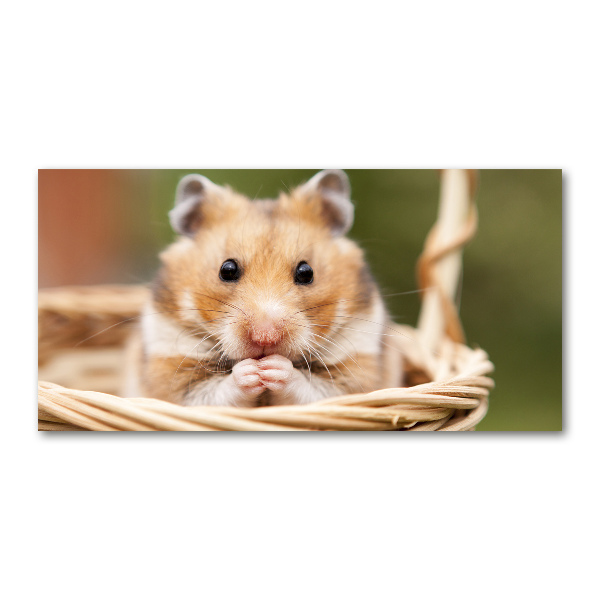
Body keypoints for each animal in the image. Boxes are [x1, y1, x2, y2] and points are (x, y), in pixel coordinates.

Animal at [123, 168, 400, 408]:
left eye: (306, 272)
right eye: (227, 269)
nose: (265, 337)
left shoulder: (356, 370)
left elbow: (315, 389)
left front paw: (272, 368)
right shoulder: (170, 368)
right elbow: (213, 392)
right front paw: (252, 372)